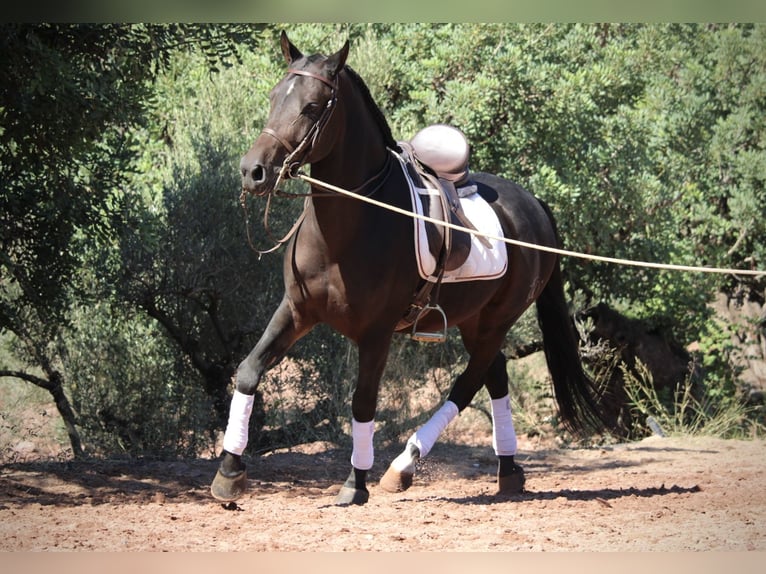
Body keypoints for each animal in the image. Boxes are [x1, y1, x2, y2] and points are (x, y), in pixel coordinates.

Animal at [211, 31, 612, 506]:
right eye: (274, 97)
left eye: (311, 106)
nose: (253, 172)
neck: (347, 227)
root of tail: (533, 204)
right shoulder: (296, 311)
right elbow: (249, 371)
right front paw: (229, 471)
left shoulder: (377, 332)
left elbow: (363, 402)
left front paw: (355, 484)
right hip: (474, 319)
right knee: (495, 378)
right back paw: (508, 470)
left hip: (498, 319)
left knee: (468, 383)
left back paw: (403, 466)